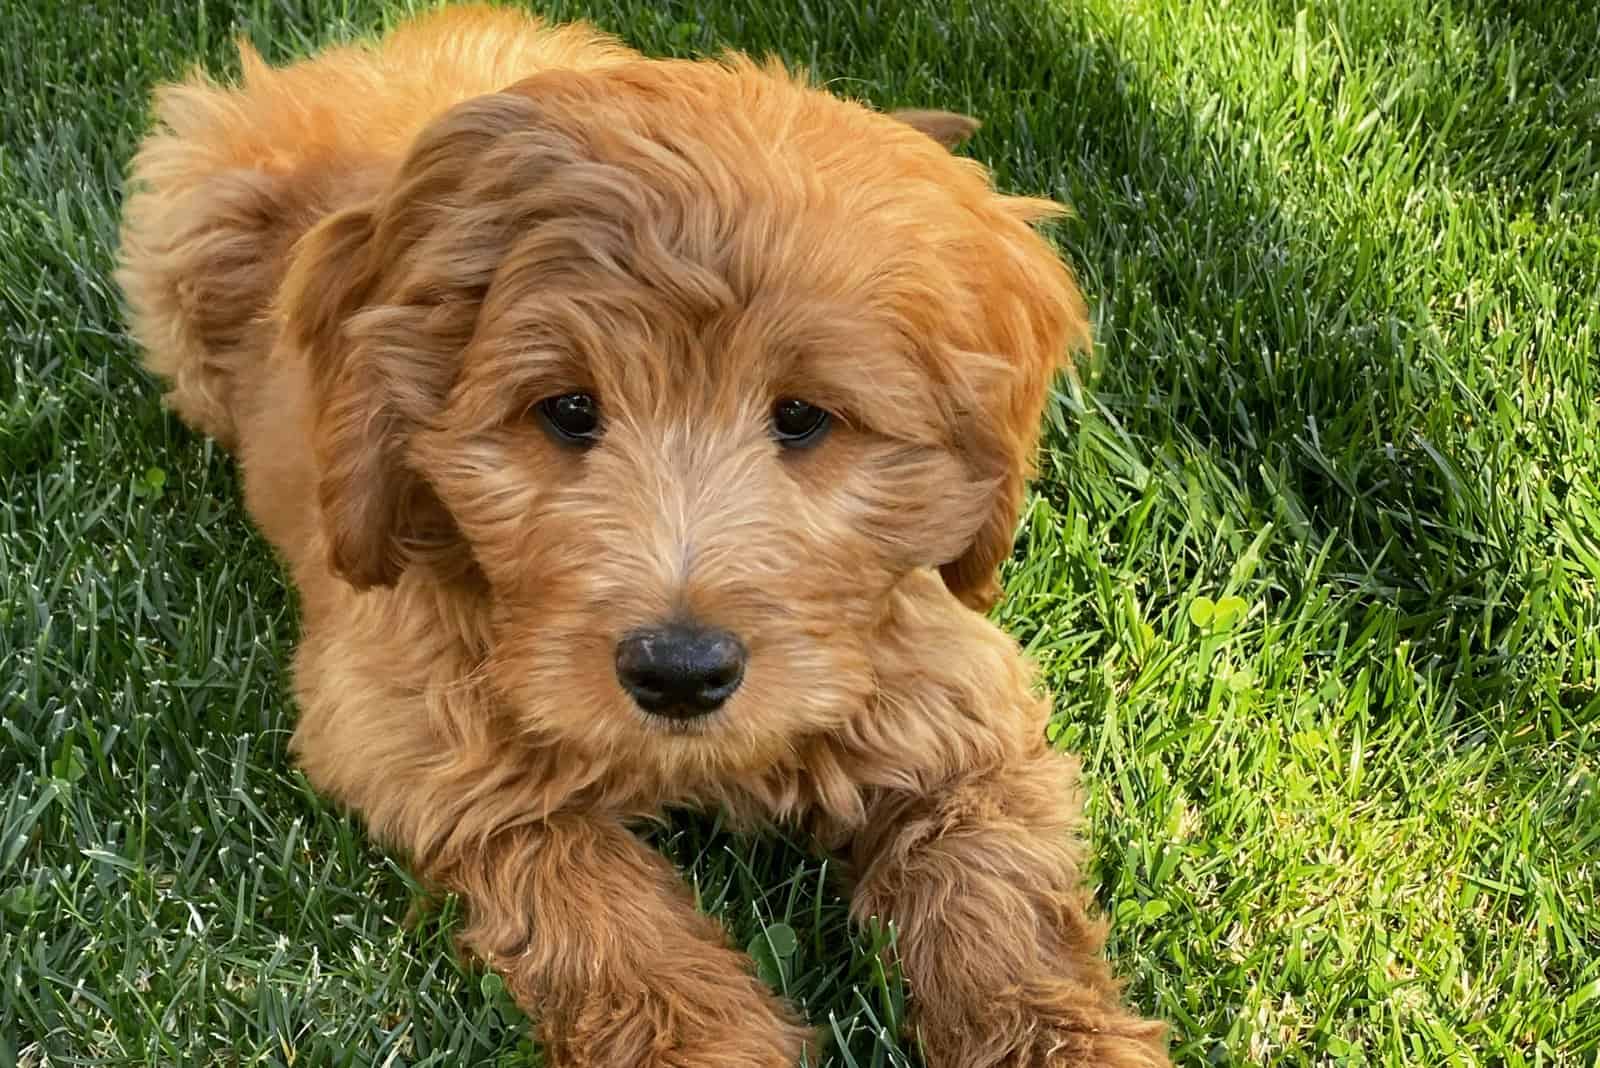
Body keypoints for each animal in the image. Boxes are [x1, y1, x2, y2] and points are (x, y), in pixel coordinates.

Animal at [118, 8, 1171, 1068]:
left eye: (803, 417)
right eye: (569, 410)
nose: (680, 673)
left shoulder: (953, 696)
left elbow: (995, 889)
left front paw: (1063, 1036)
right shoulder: (410, 722)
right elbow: (586, 896)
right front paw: (703, 1040)